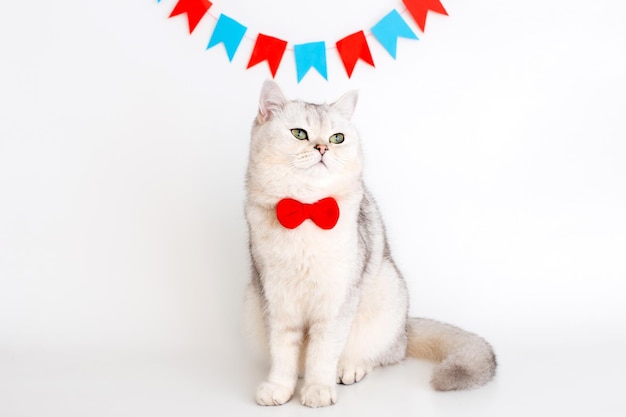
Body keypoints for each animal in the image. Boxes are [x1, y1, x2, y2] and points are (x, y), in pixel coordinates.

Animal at [241, 80, 494, 406]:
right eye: (299, 133)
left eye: (337, 138)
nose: (322, 148)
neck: (307, 209)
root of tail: (405, 329)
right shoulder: (275, 297)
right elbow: (283, 351)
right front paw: (279, 387)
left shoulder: (338, 299)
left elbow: (323, 352)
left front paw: (318, 389)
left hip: (386, 289)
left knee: (382, 354)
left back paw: (351, 368)